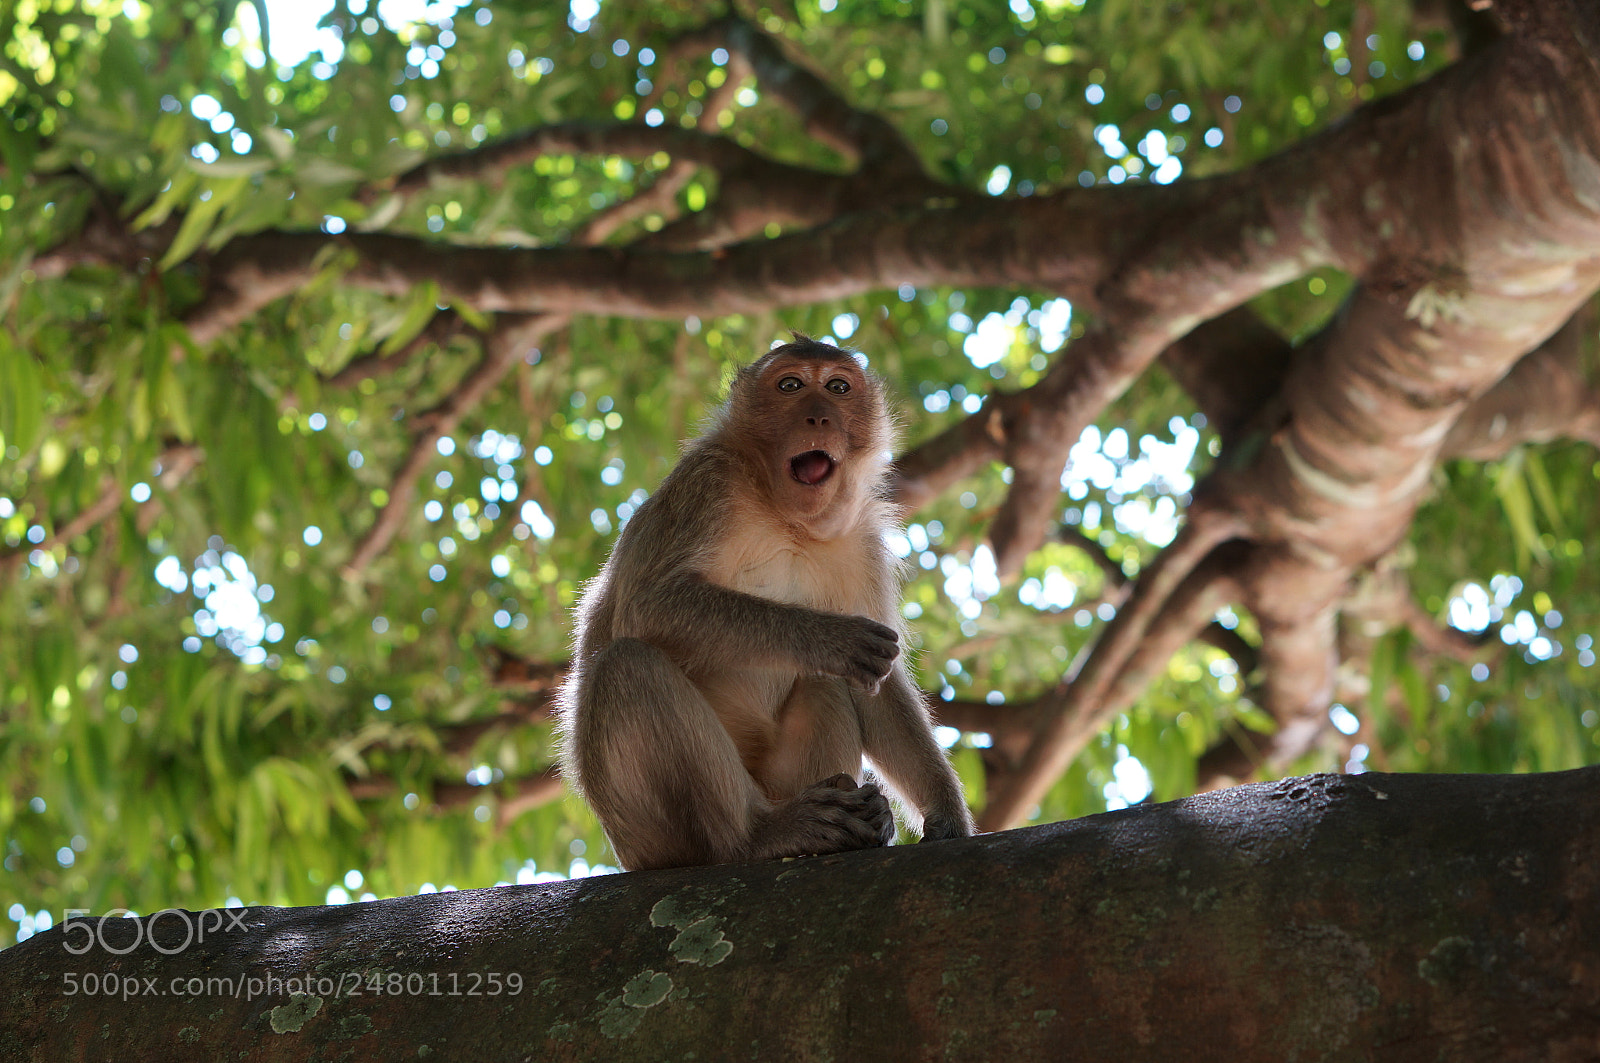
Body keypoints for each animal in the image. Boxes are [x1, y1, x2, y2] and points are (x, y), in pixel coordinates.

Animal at [556, 335, 975, 871]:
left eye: (838, 388)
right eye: (791, 385)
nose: (818, 417)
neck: (785, 517)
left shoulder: (863, 543)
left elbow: (877, 686)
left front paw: (946, 814)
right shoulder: (706, 484)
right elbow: (647, 603)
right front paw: (829, 638)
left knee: (826, 686)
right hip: (647, 832)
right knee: (627, 666)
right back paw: (759, 836)